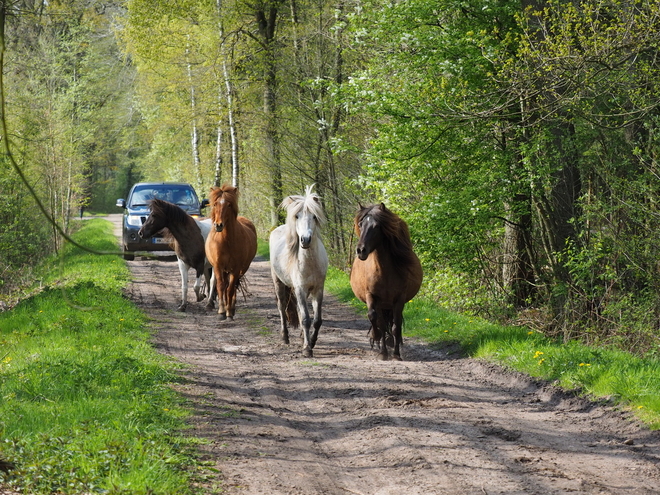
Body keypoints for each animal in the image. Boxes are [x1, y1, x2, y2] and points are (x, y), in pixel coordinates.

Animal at [206, 186, 258, 322]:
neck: (226, 241)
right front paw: (221, 312)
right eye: (215, 204)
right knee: (224, 286)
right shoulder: (218, 267)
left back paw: (232, 309)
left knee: (233, 286)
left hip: (241, 270)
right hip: (225, 270)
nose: (219, 225)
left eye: (229, 205)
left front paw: (229, 313)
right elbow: (220, 287)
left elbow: (230, 289)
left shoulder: (236, 268)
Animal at [350, 203, 422, 362]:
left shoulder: (399, 299)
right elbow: (376, 320)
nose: (361, 250)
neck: (384, 271)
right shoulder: (373, 297)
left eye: (376, 226)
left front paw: (396, 354)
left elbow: (396, 326)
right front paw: (381, 349)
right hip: (382, 304)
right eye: (361, 224)